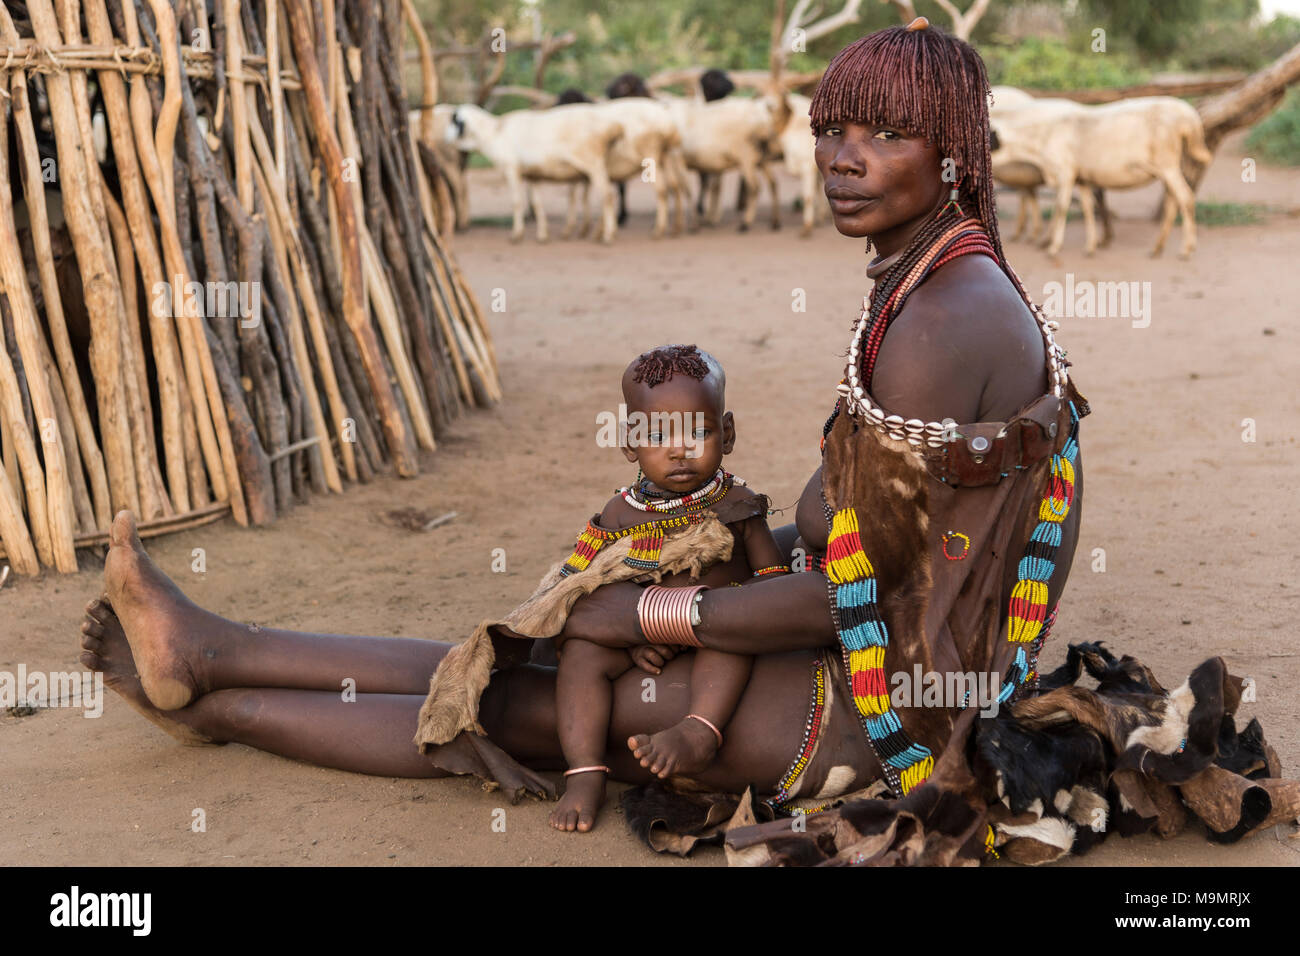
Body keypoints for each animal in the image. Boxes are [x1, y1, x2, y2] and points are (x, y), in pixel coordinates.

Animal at [447, 100, 624, 240]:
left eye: (454, 120)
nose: (445, 136)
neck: (495, 133)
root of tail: (613, 125)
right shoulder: (532, 175)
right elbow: (537, 203)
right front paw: (542, 235)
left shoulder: (512, 169)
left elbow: (516, 202)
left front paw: (516, 234)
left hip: (592, 163)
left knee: (607, 195)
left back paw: (607, 235)